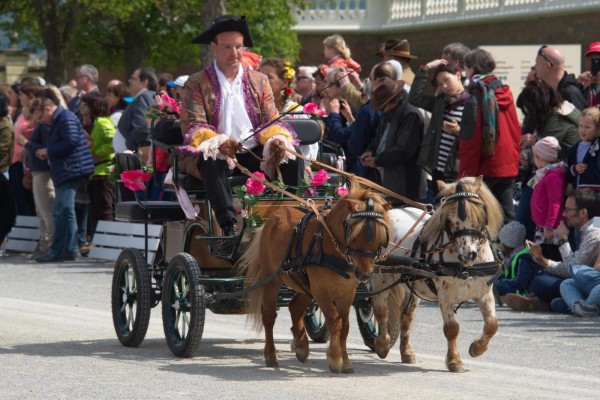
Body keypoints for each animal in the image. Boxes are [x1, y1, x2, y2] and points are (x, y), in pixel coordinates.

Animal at [237, 183, 392, 374]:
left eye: (380, 236)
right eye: (354, 234)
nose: (364, 274)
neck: (331, 246)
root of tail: (272, 218)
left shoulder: (347, 293)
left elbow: (345, 326)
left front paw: (346, 362)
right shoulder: (322, 291)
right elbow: (335, 321)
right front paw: (335, 359)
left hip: (305, 285)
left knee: (295, 307)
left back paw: (301, 347)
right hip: (272, 279)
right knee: (269, 315)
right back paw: (271, 355)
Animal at [370, 177, 502, 374]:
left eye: (479, 216)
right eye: (450, 220)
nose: (468, 255)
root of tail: (391, 211)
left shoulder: (484, 293)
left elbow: (492, 324)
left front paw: (476, 349)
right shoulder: (445, 295)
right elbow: (452, 328)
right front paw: (455, 361)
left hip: (412, 286)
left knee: (406, 318)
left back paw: (406, 352)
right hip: (381, 278)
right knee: (380, 310)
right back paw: (382, 345)